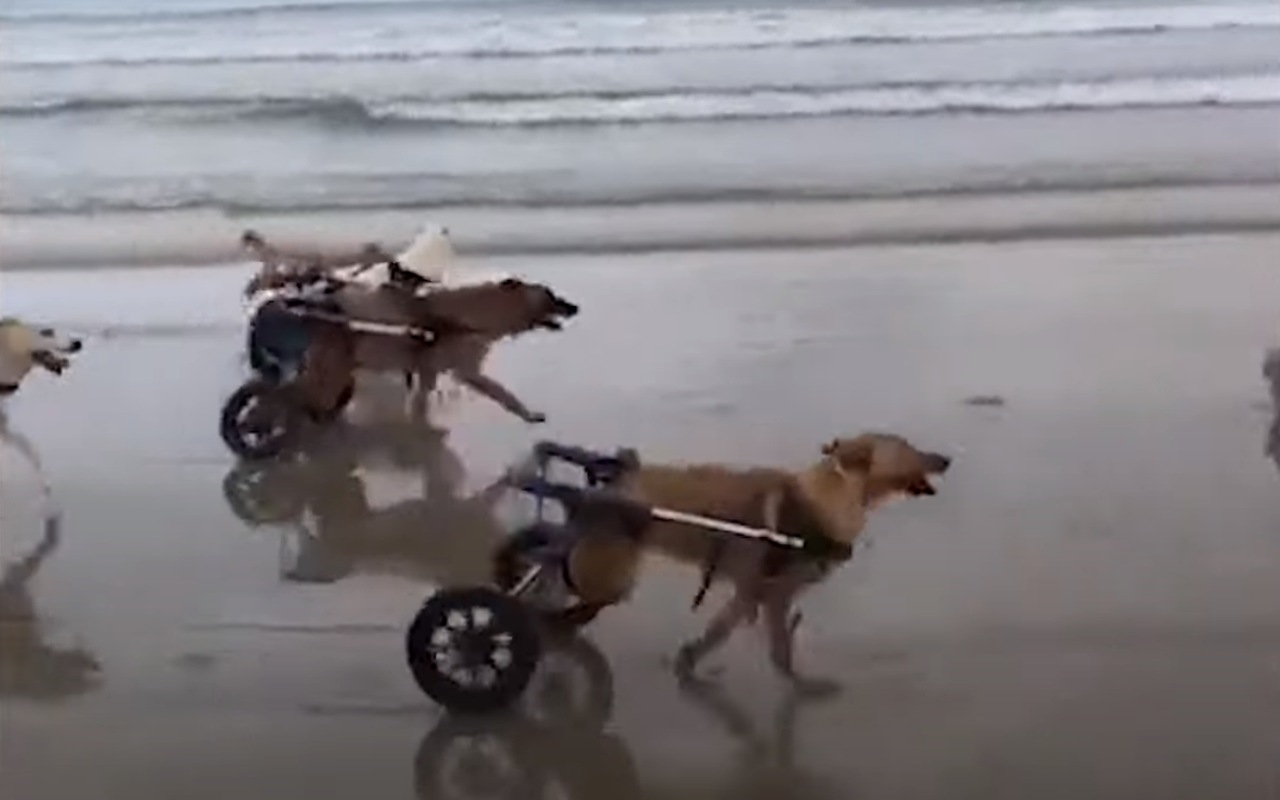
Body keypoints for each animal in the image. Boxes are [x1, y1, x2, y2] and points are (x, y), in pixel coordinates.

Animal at [550, 432, 952, 691]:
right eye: (908, 449)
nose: (947, 459)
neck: (828, 499)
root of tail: (611, 484)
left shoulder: (759, 594)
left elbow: (738, 634)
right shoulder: (765, 592)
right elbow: (759, 643)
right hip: (609, 573)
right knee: (567, 610)